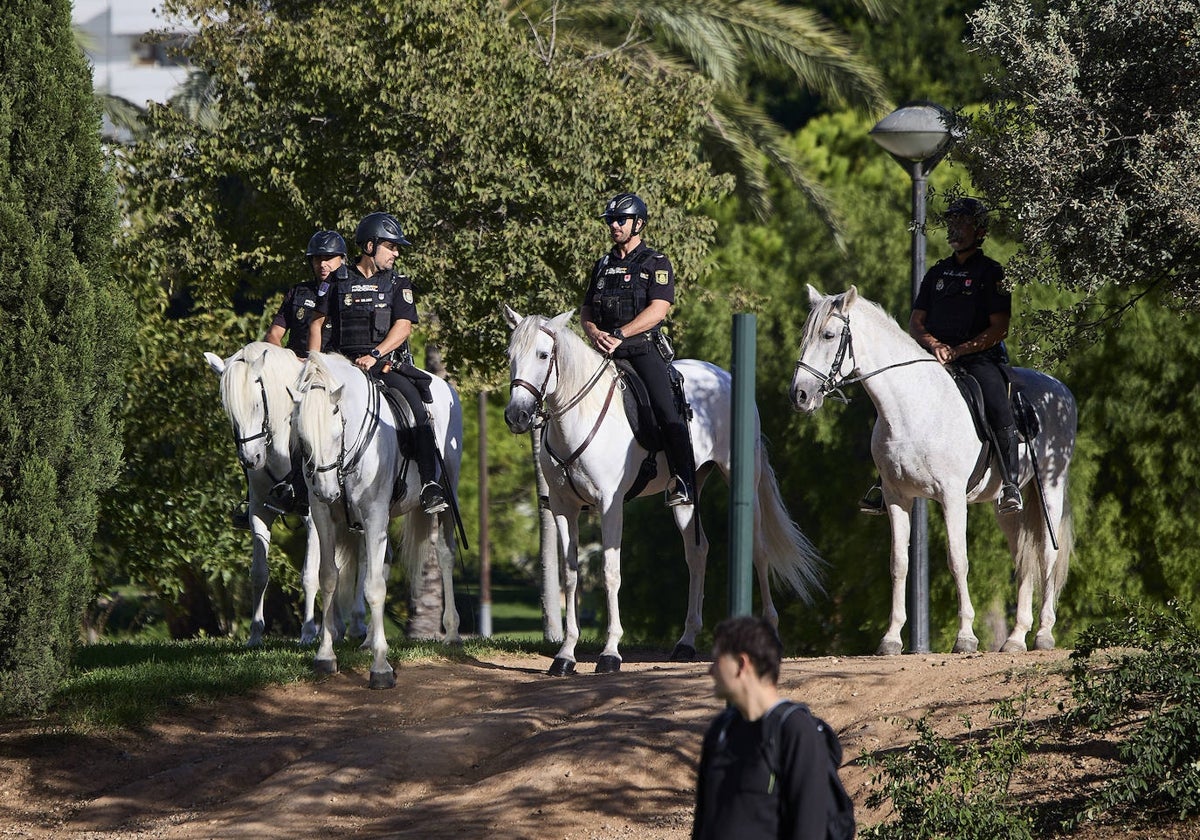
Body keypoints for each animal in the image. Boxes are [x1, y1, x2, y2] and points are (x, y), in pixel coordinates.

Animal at [204, 345, 362, 648]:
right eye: (229, 411)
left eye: (256, 405)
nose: (251, 459)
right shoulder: (259, 513)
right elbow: (259, 573)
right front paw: (255, 635)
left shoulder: (312, 517)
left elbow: (310, 575)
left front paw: (308, 633)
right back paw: (337, 628)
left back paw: (357, 626)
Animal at [291, 350, 463, 686]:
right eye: (302, 437)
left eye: (336, 432)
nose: (327, 491)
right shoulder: (324, 518)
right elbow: (328, 578)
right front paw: (325, 656)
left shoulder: (373, 515)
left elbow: (373, 587)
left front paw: (381, 667)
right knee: (383, 561)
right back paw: (369, 639)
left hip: (447, 499)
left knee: (445, 555)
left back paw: (451, 634)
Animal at [499, 307, 825, 676]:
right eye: (509, 355)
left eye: (543, 355)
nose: (516, 416)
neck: (578, 418)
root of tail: (723, 376)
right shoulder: (562, 509)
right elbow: (569, 577)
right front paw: (566, 655)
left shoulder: (610, 506)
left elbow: (610, 573)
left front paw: (610, 653)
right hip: (688, 492)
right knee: (697, 552)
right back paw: (686, 642)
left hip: (745, 483)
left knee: (759, 550)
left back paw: (769, 630)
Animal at [787, 285, 1080, 652]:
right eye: (805, 336)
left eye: (828, 335)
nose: (799, 395)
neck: (913, 406)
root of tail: (1061, 390)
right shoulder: (897, 497)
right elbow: (899, 563)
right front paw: (891, 638)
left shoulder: (951, 497)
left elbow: (958, 560)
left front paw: (965, 636)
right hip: (1008, 508)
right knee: (1023, 560)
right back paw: (1015, 638)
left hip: (1051, 491)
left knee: (1047, 555)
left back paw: (1043, 633)